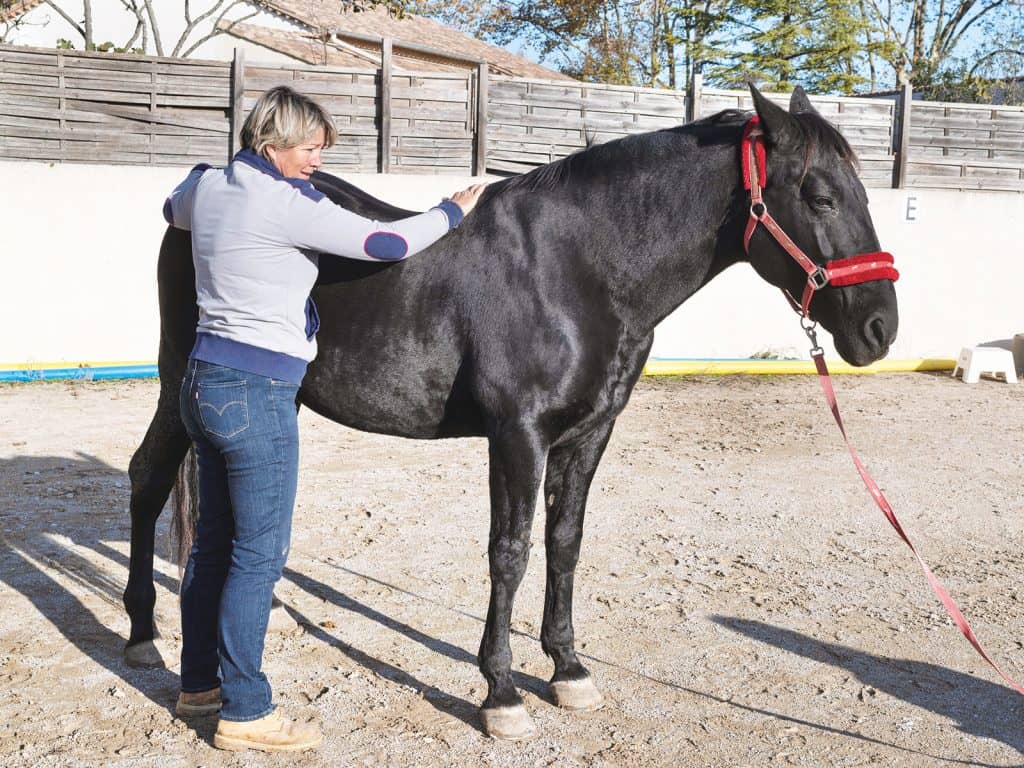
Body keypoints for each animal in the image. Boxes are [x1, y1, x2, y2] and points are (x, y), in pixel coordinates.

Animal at [123, 87, 901, 741]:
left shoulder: (588, 434)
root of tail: (194, 196)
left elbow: (564, 543)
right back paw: (143, 637)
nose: (879, 329)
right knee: (148, 479)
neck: (579, 269)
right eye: (820, 197)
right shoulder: (517, 435)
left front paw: (568, 671)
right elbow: (511, 551)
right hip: (174, 386)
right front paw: (500, 694)